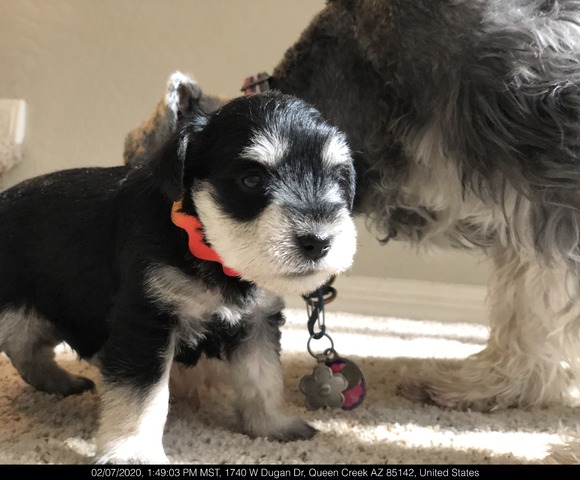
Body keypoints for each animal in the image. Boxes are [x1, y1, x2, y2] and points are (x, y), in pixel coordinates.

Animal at [0, 92, 358, 464]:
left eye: (338, 177)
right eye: (251, 179)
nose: (318, 242)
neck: (204, 246)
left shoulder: (257, 322)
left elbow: (263, 377)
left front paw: (272, 424)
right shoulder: (147, 323)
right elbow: (142, 396)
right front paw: (134, 452)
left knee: (25, 348)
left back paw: (58, 381)